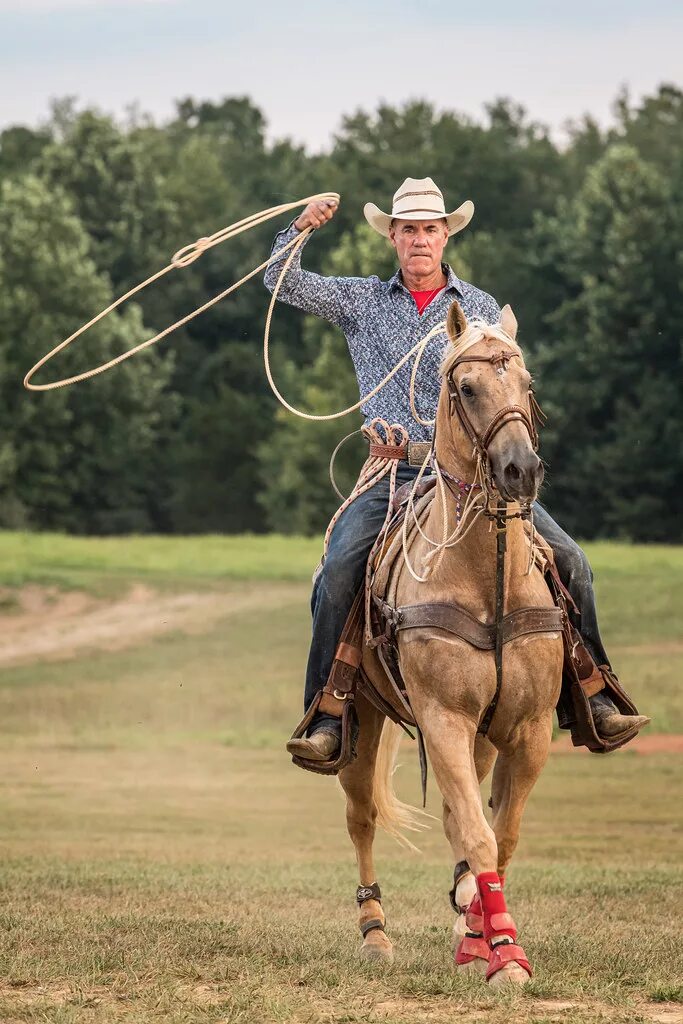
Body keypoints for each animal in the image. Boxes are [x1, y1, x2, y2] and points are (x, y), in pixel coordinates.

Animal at [339, 301, 565, 983]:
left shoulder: (528, 729)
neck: (488, 581)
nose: (521, 470)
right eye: (466, 387)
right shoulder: (443, 719)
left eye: (527, 386)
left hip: (485, 737)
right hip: (360, 717)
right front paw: (506, 954)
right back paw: (375, 933)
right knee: (362, 816)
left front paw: (486, 937)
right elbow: (479, 832)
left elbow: (499, 834)